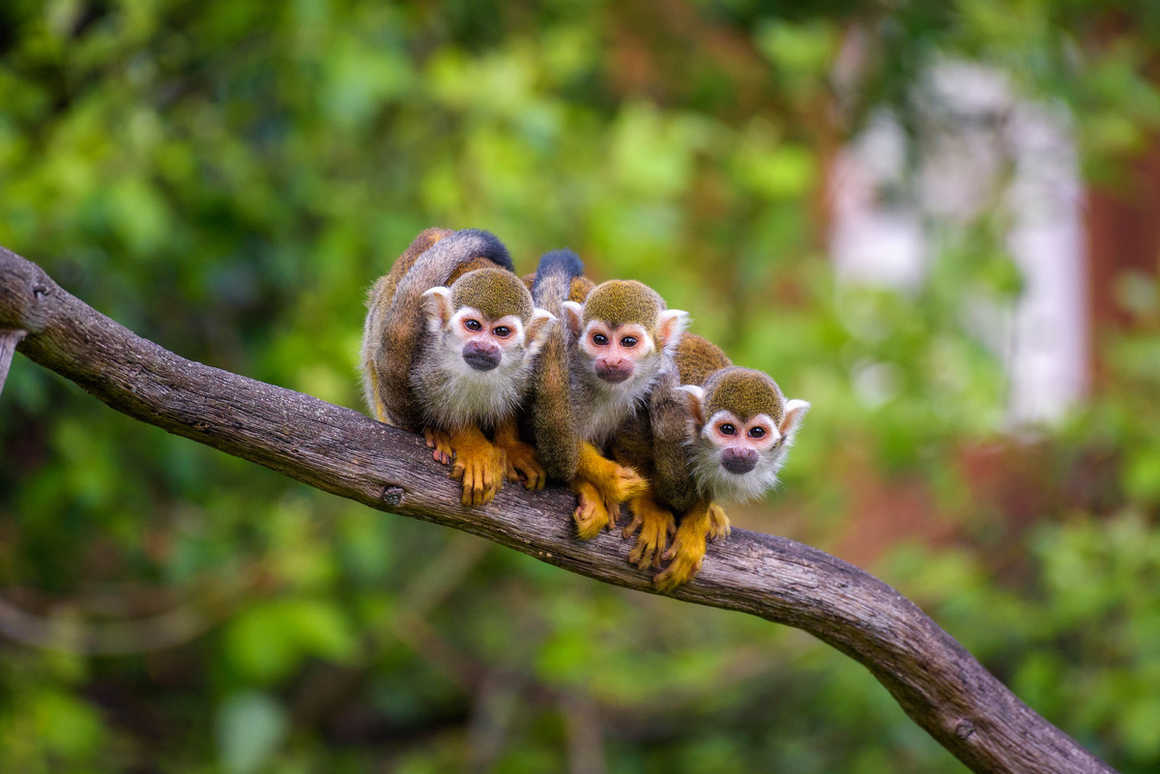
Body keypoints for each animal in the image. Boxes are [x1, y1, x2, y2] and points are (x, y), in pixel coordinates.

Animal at [364, 228, 559, 508]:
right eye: (473, 326)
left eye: (502, 332)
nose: (483, 347)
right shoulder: (427, 361)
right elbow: (442, 407)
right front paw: (471, 445)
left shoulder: (527, 367)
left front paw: (510, 445)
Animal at [612, 336, 812, 589]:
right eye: (727, 429)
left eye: (757, 433)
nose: (741, 451)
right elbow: (627, 435)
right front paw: (649, 505)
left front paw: (698, 520)